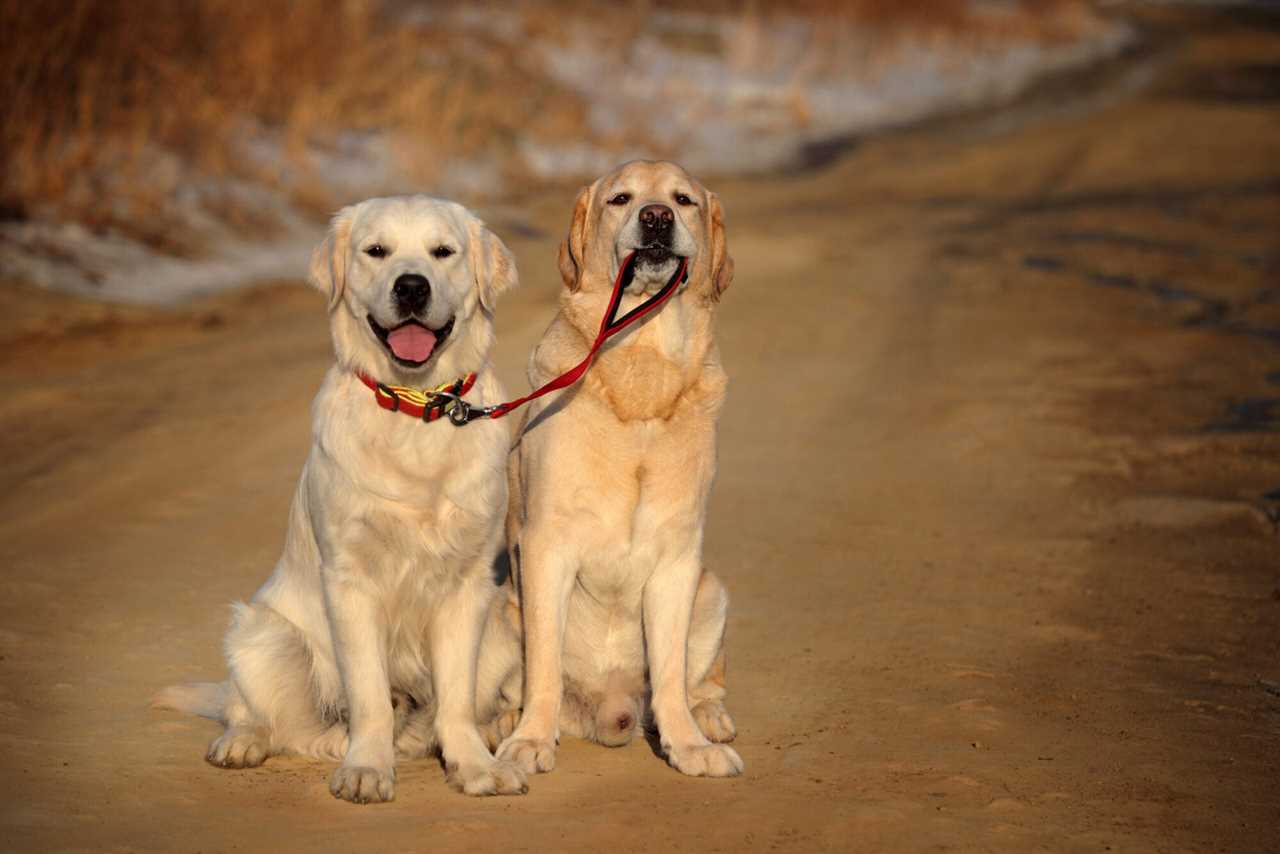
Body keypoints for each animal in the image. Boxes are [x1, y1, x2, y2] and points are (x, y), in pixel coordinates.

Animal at [154, 193, 524, 804]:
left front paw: (474, 767)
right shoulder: (350, 581)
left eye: (442, 252)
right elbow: (370, 694)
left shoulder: (468, 584)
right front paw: (367, 769)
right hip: (263, 631)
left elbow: (456, 697)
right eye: (376, 251)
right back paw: (243, 742)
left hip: (500, 634)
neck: (416, 409)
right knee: (260, 714)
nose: (411, 287)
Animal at [496, 161, 747, 783]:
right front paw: (528, 742)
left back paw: (709, 719)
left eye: (683, 200)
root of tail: (607, 707)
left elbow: (671, 673)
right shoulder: (545, 546)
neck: (642, 355)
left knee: (698, 682)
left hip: (711, 590)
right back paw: (503, 724)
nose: (656, 218)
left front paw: (688, 747)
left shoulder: (678, 557)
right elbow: (542, 668)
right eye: (620, 199)